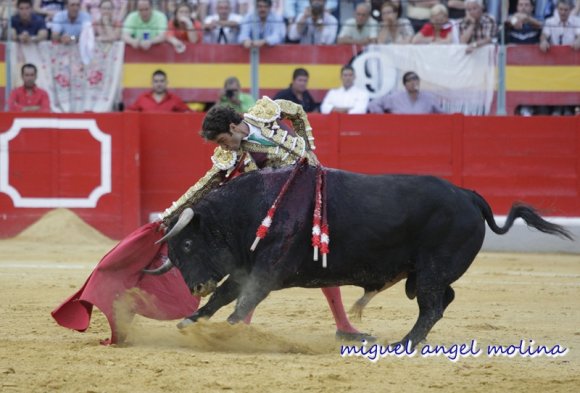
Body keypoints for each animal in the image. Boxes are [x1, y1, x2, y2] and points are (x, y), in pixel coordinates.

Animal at [153, 165, 572, 346]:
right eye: (173, 252)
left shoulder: (268, 269)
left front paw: (226, 331)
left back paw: (403, 344)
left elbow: (242, 300)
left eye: (187, 245)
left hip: (433, 269)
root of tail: (467, 195)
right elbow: (227, 294)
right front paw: (192, 321)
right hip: (427, 273)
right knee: (442, 301)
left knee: (432, 306)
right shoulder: (248, 267)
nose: (196, 286)